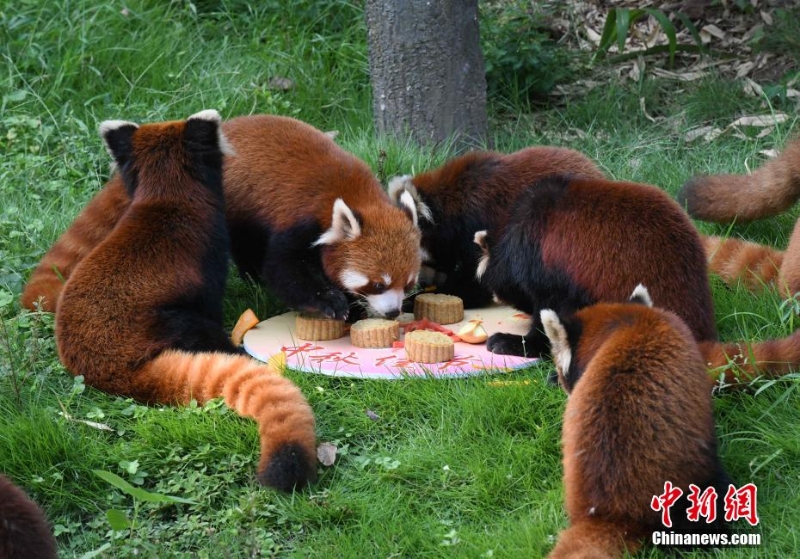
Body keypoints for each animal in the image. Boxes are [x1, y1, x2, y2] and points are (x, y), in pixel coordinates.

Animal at [21, 116, 422, 322]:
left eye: (409, 283)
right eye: (377, 284)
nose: (392, 313)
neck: (353, 193)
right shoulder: (298, 219)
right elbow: (285, 269)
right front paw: (332, 303)